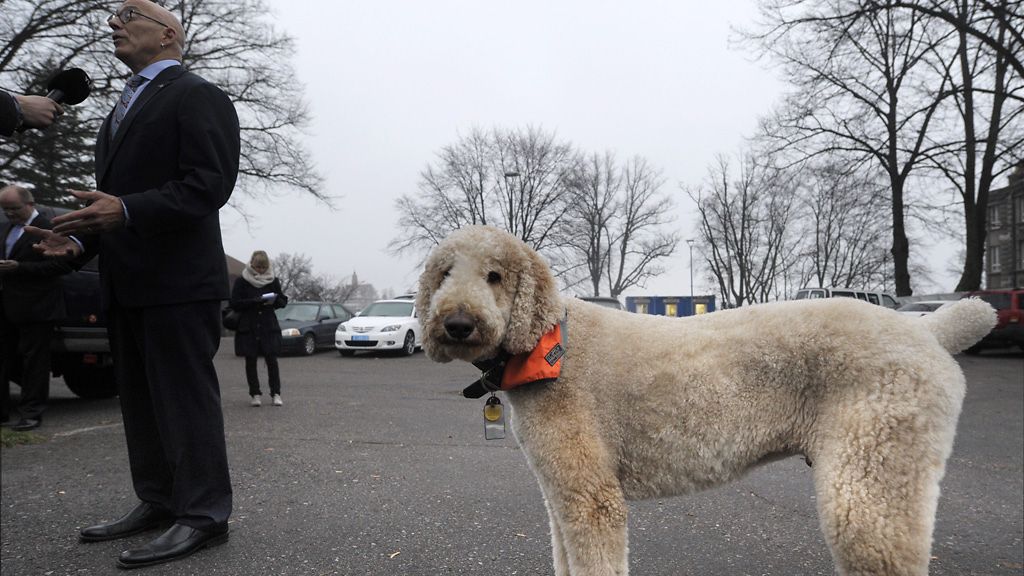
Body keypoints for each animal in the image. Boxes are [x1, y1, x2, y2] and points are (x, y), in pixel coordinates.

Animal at [413, 224, 991, 573]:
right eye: (443, 274)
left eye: (495, 275)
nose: (457, 323)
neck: (550, 343)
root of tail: (926, 330)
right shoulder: (562, 494)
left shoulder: (593, 499)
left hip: (874, 475)